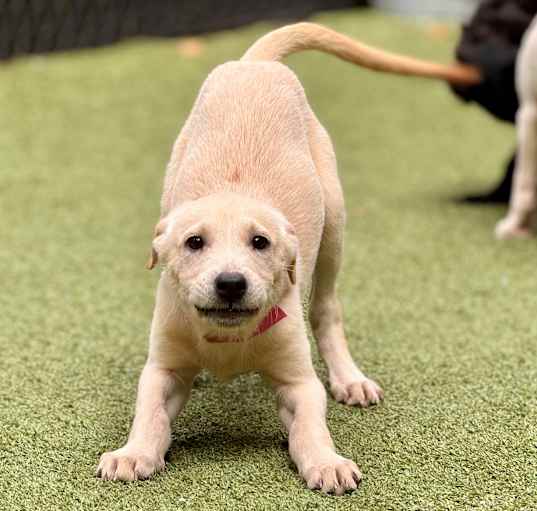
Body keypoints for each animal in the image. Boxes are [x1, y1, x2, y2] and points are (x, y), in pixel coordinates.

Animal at [96, 22, 478, 494]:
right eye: (194, 242)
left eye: (260, 242)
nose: (230, 284)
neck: (228, 340)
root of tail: (255, 63)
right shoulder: (161, 368)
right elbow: (148, 412)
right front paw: (133, 453)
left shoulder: (300, 382)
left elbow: (310, 425)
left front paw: (327, 462)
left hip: (334, 226)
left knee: (327, 309)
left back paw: (350, 378)